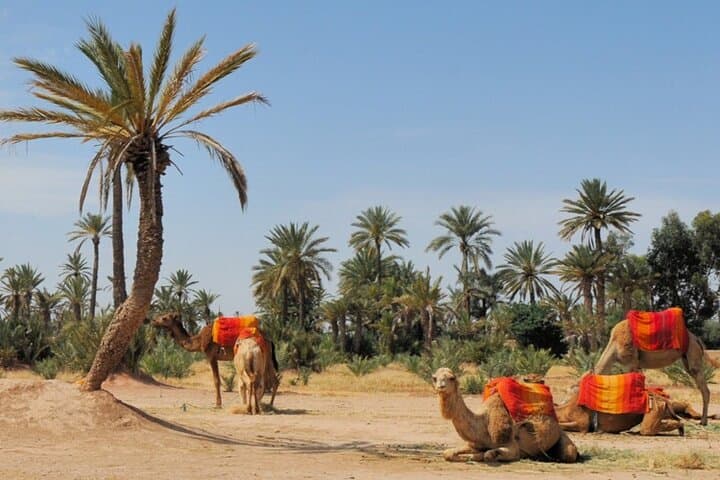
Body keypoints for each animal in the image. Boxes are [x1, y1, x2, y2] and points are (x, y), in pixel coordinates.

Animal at [432, 368, 578, 463]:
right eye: (435, 378)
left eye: (451, 378)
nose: (440, 387)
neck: (483, 423)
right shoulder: (474, 443)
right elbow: (447, 453)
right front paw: (467, 456)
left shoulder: (512, 447)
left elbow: (488, 454)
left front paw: (476, 456)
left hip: (563, 438)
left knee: (569, 454)